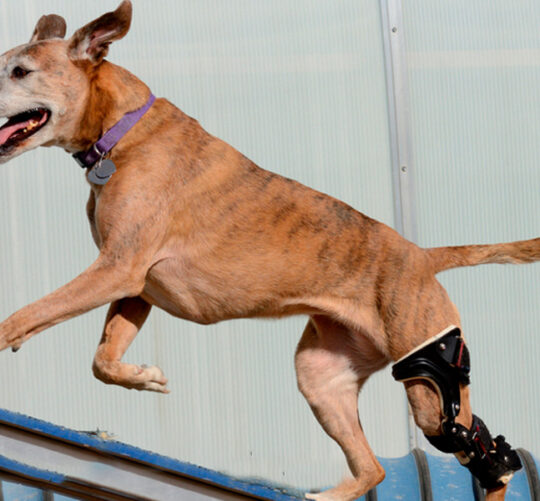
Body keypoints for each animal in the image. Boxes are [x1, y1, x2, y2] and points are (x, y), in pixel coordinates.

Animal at [0, 1, 536, 498]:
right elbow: (102, 360)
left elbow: (24, 316)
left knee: (487, 453)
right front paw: (146, 377)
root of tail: (424, 257)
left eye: (20, 71)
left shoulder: (117, 269)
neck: (122, 130)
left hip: (428, 374)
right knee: (375, 468)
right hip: (322, 376)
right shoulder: (135, 288)